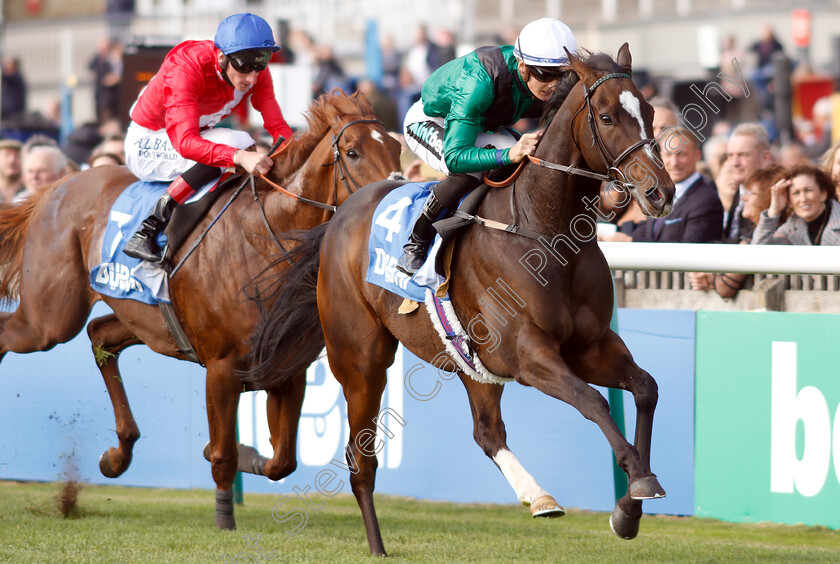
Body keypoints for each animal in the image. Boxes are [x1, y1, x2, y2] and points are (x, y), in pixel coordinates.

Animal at [0, 91, 404, 528]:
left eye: (398, 147)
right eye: (353, 152)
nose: (394, 201)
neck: (267, 238)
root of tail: (56, 186)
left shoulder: (286, 367)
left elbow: (281, 461)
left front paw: (242, 454)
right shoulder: (221, 368)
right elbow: (225, 455)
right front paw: (225, 517)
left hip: (144, 319)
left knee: (100, 336)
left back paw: (118, 455)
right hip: (48, 318)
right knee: (16, 333)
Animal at [248, 45, 676, 556]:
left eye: (649, 112)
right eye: (608, 116)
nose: (660, 192)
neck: (545, 230)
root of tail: (340, 214)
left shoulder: (590, 346)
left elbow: (646, 387)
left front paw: (629, 507)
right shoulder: (528, 354)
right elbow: (592, 400)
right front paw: (639, 485)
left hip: (469, 358)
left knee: (487, 432)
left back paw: (538, 496)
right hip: (360, 358)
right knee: (360, 455)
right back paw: (377, 544)